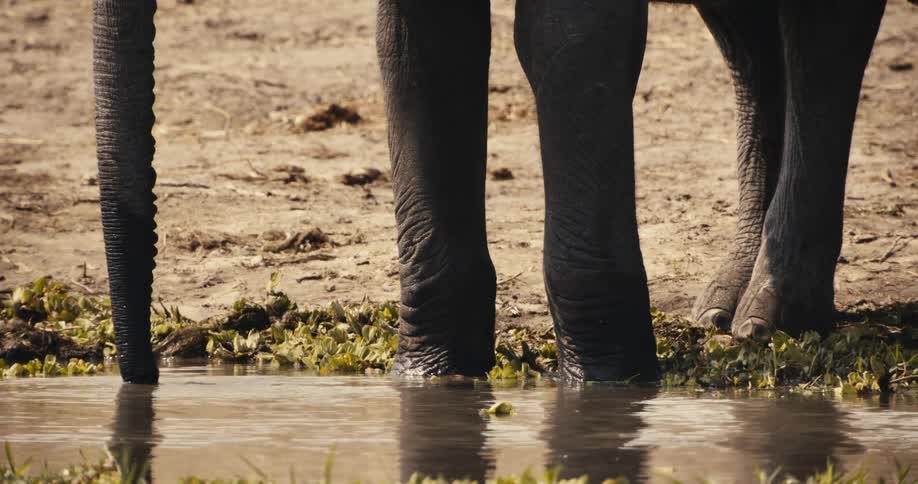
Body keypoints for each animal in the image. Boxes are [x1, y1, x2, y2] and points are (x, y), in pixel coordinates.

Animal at [91, 0, 887, 384]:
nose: (148, 376)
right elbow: (417, 43)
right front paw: (432, 378)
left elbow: (567, 37)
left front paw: (609, 386)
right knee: (748, 37)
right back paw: (726, 312)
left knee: (824, 30)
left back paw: (772, 321)